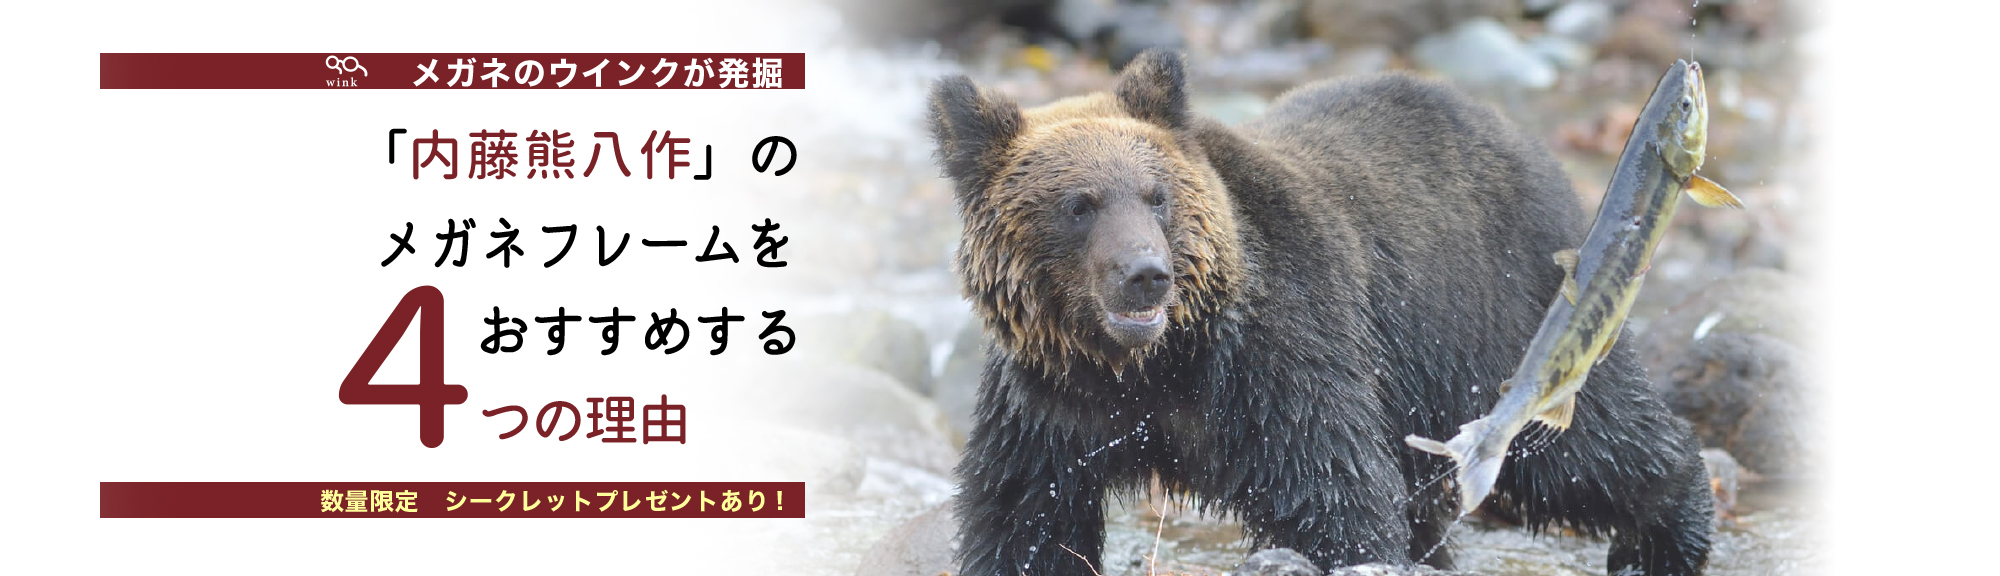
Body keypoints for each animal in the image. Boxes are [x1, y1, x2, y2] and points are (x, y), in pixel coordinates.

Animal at [927, 50, 1715, 576]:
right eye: (1078, 204)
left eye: (1156, 195)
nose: (1146, 276)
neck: (1154, 366)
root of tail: (1518, 135)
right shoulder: (1048, 405)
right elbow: (1022, 518)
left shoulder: (1280, 362)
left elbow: (1336, 500)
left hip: (1491, 315)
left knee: (1584, 451)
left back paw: (1666, 534)